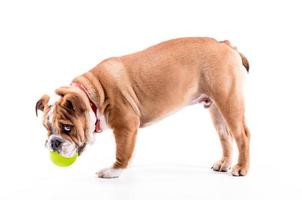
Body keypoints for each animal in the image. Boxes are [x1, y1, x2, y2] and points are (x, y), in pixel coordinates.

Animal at [36, 37, 250, 178]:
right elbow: (128, 150)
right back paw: (224, 163)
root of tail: (225, 44)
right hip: (216, 108)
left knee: (242, 135)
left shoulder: (126, 125)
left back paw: (241, 168)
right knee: (225, 135)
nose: (53, 142)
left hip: (229, 101)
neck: (94, 94)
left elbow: (122, 151)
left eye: (67, 128)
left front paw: (113, 171)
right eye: (47, 129)